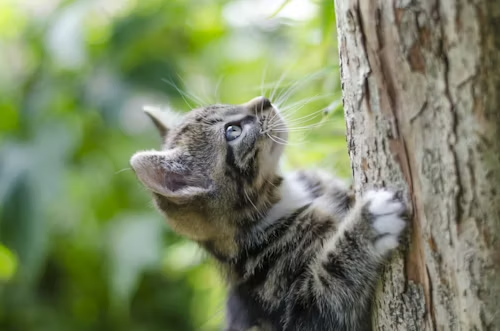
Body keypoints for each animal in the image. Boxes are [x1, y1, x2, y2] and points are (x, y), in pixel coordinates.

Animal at [131, 96, 408, 331]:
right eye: (232, 131)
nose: (264, 101)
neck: (284, 197)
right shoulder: (297, 312)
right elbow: (331, 283)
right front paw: (368, 224)